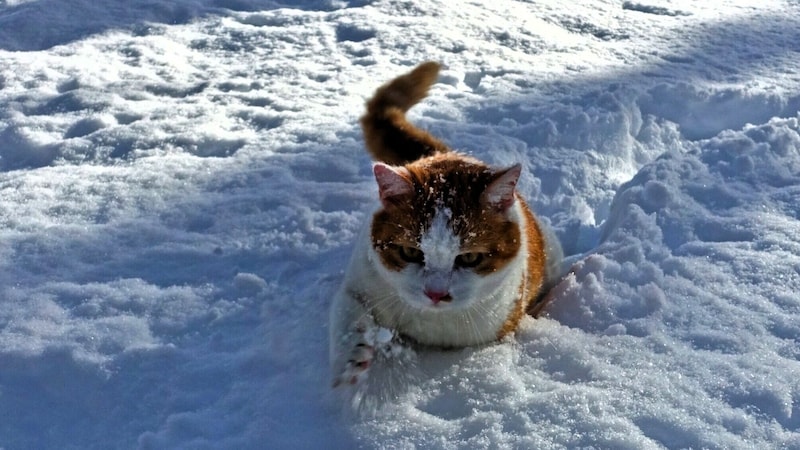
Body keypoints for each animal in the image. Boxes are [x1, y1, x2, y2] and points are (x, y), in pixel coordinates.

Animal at [326, 62, 564, 386]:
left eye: (471, 257)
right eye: (410, 252)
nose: (435, 294)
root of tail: (446, 154)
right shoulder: (361, 277)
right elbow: (347, 313)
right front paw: (353, 355)